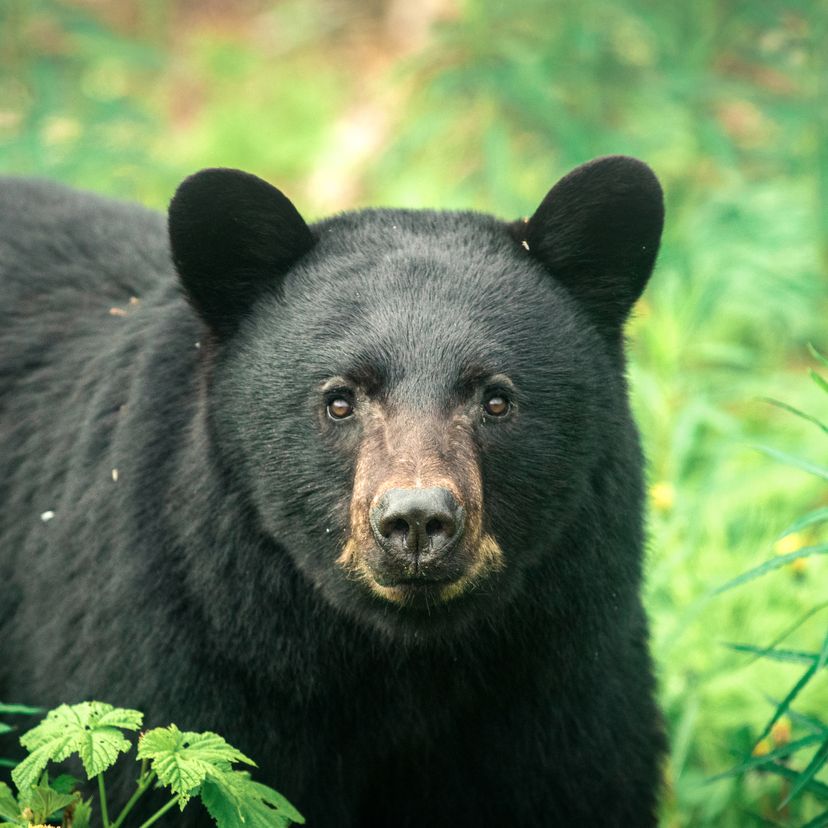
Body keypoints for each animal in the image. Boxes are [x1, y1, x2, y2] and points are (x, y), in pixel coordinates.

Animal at [0, 155, 665, 827]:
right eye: (339, 401)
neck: (400, 664)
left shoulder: (564, 680)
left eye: (497, 400)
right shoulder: (179, 649)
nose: (417, 520)